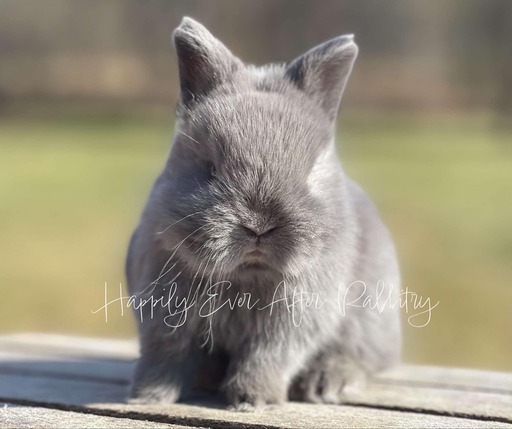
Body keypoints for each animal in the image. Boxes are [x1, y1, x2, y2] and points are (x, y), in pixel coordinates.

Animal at [126, 16, 402, 410]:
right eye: (210, 167)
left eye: (310, 173)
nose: (258, 226)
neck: (246, 274)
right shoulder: (162, 312)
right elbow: (163, 354)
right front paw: (147, 398)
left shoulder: (291, 320)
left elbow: (267, 356)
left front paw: (253, 400)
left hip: (372, 320)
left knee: (361, 357)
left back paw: (325, 383)